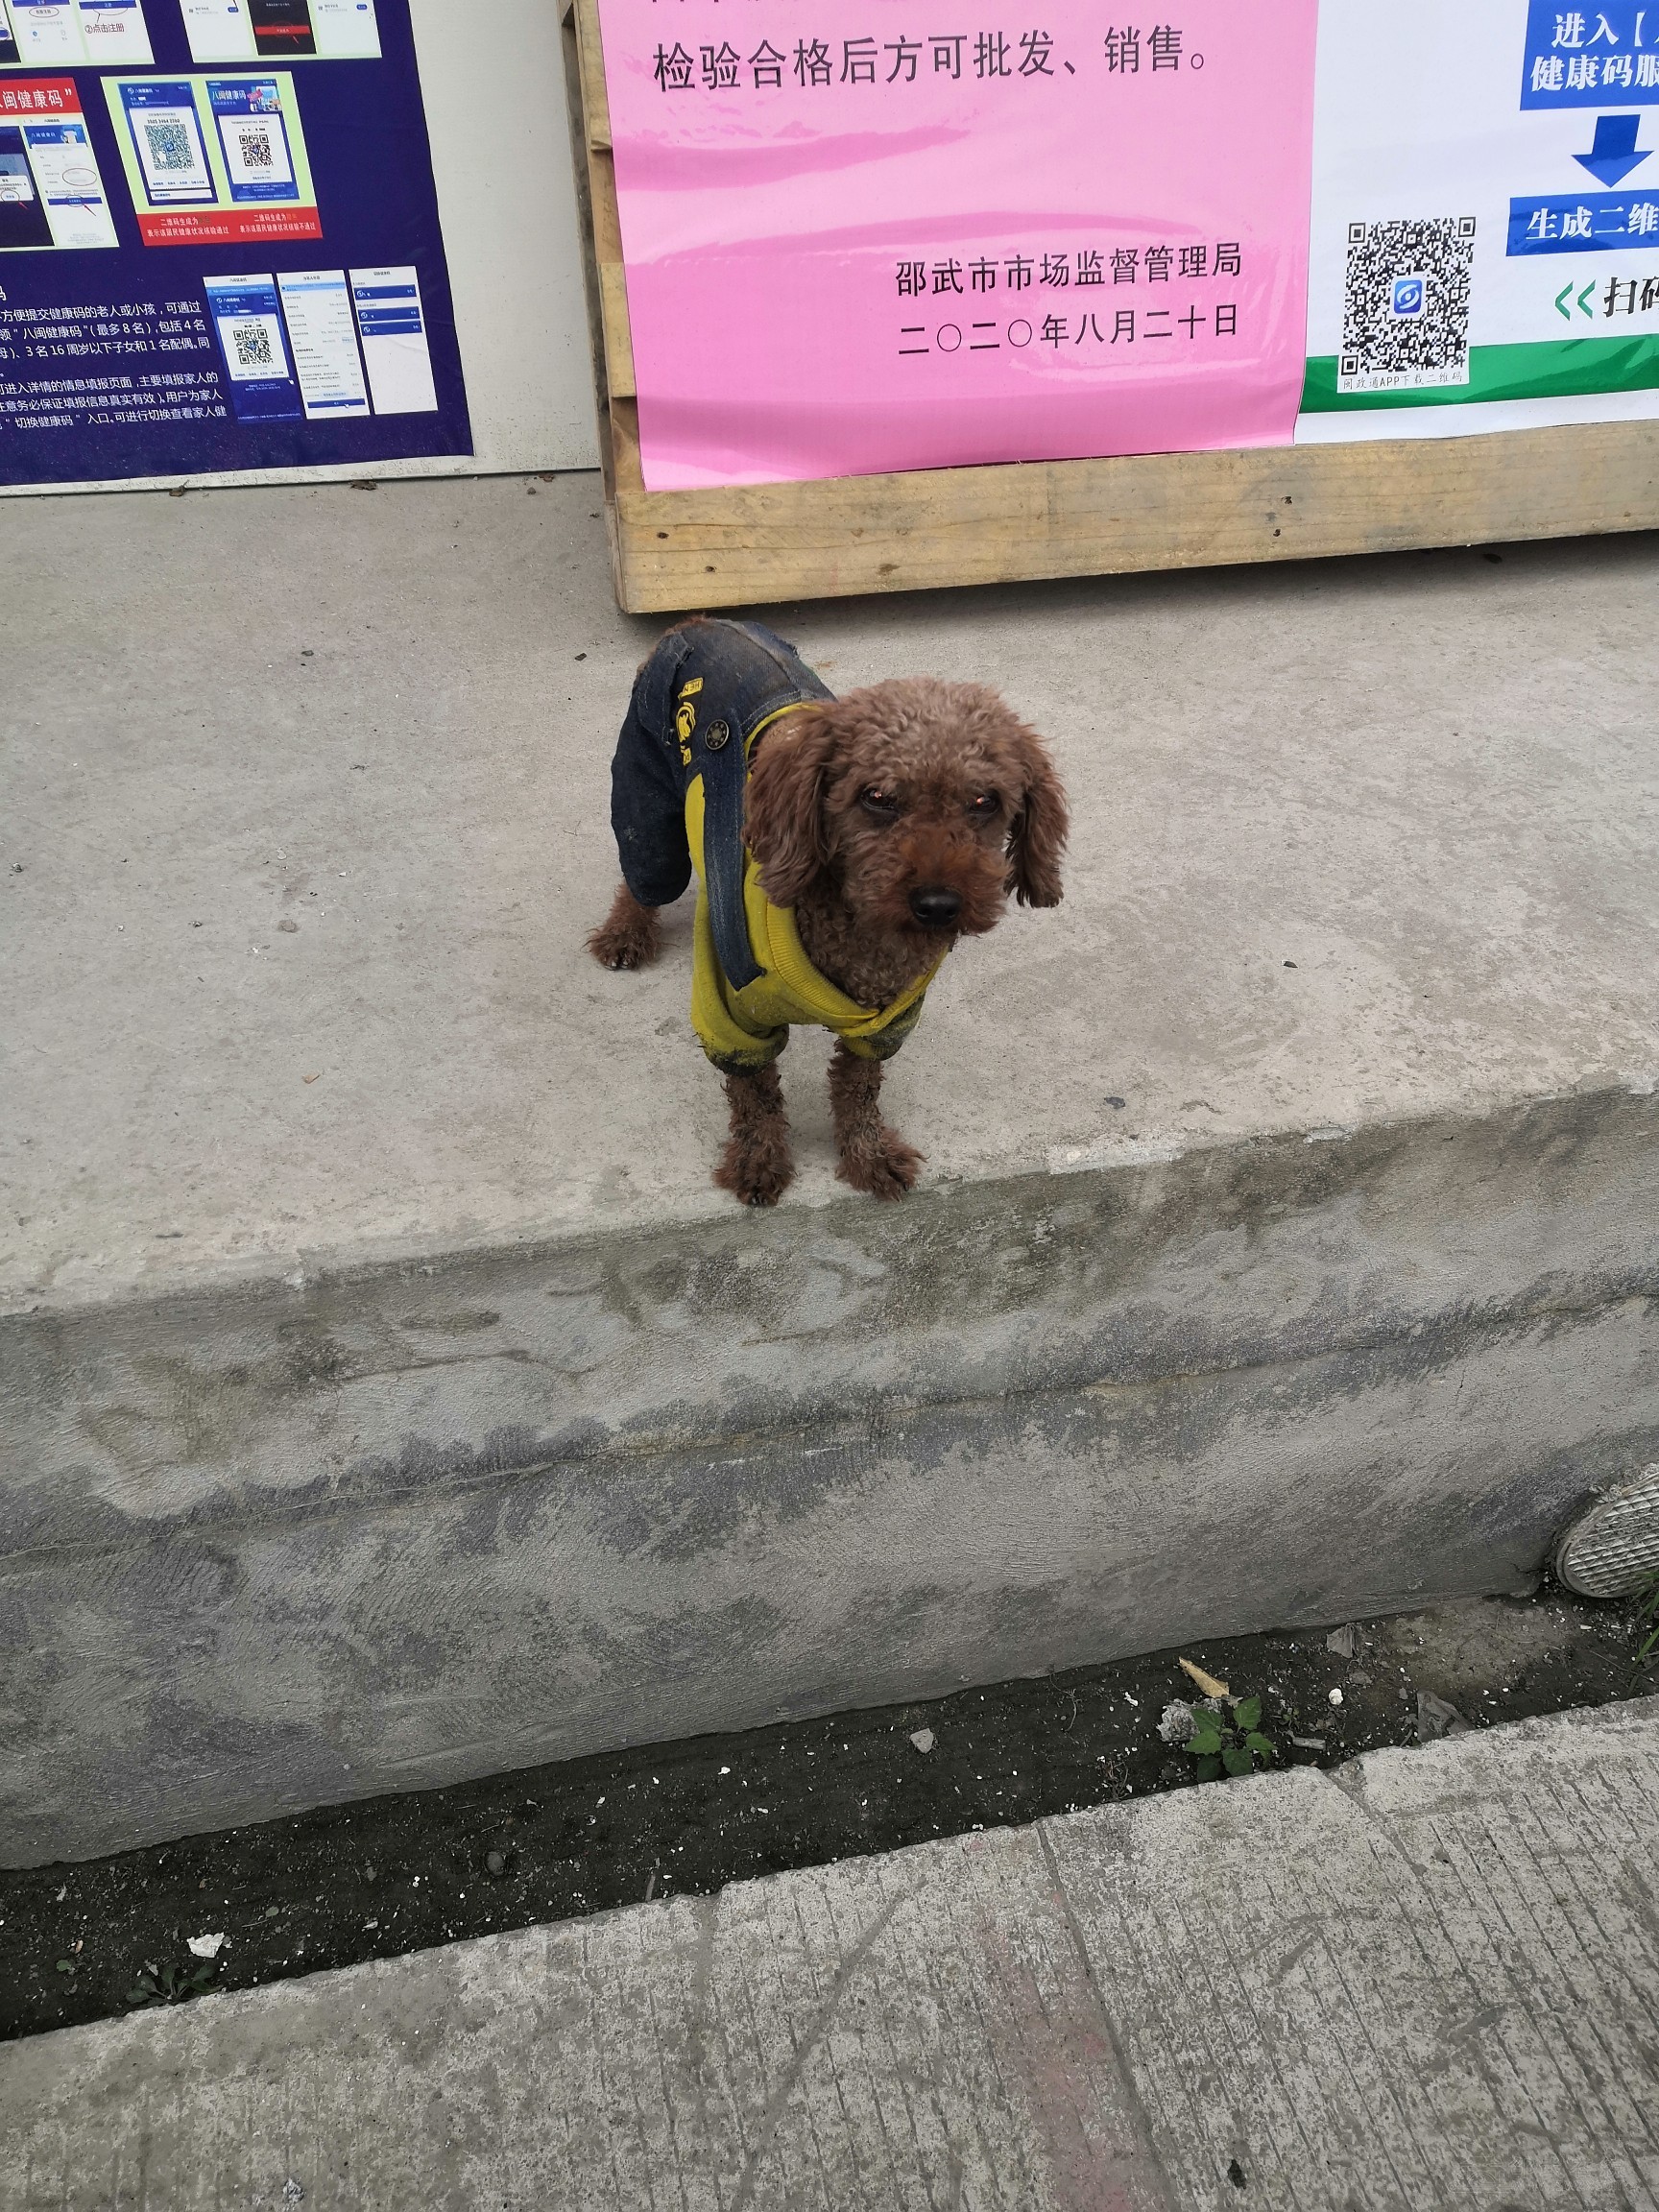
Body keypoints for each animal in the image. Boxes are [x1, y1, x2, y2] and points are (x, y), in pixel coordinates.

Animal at [589, 617, 1067, 1205]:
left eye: (986, 802)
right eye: (877, 796)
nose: (939, 905)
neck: (853, 936)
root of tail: (702, 622)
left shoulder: (884, 1023)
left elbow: (858, 1090)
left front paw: (867, 1156)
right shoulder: (729, 1017)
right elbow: (754, 1096)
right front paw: (758, 1160)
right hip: (647, 796)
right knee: (644, 874)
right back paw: (624, 933)